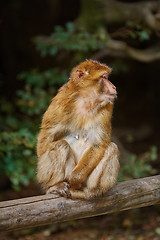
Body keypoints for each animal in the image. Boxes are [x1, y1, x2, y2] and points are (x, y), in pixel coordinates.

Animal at [37, 59, 119, 199]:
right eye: (104, 77)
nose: (113, 87)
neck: (86, 101)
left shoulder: (107, 107)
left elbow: (98, 144)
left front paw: (75, 180)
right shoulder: (60, 101)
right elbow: (44, 142)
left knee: (112, 148)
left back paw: (90, 191)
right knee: (61, 145)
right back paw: (55, 186)